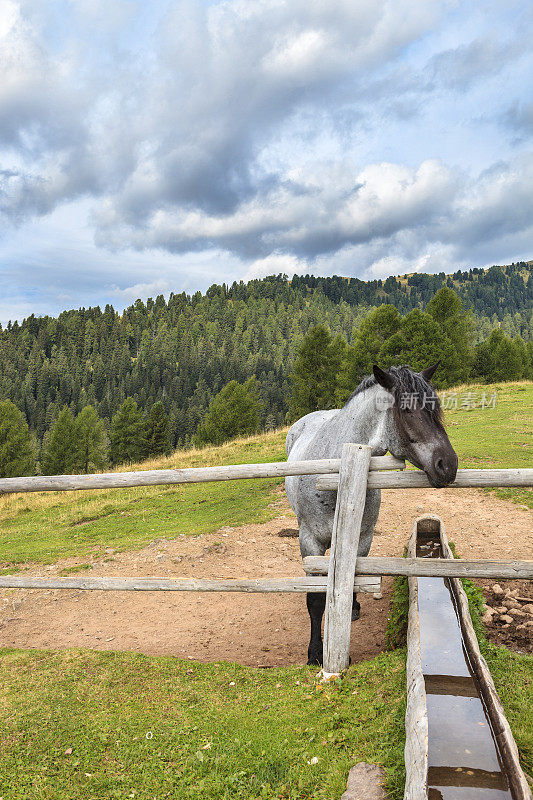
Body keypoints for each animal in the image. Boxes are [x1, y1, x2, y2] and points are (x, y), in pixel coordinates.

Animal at [286, 362, 458, 664]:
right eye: (407, 411)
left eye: (435, 408)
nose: (448, 465)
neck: (339, 473)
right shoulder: (310, 542)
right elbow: (315, 601)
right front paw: (315, 653)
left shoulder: (363, 538)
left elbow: (354, 576)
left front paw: (349, 610)